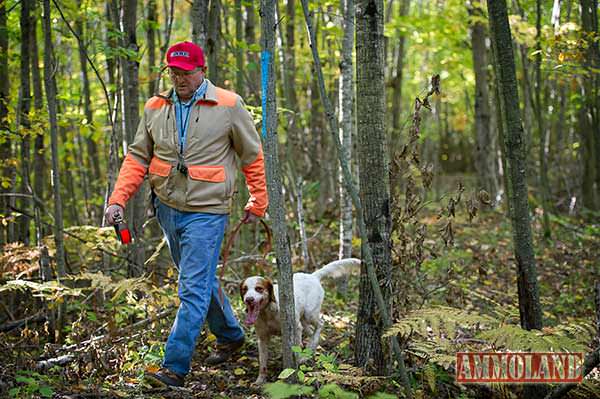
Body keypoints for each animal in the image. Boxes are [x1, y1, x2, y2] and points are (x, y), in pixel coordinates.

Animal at [239, 258, 360, 386]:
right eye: (244, 289)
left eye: (259, 288)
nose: (249, 300)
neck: (267, 312)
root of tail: (313, 276)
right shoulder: (262, 338)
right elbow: (262, 363)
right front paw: (260, 380)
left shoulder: (295, 328)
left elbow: (296, 351)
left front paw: (295, 368)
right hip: (303, 321)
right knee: (311, 332)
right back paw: (310, 350)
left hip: (309, 314)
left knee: (320, 324)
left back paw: (309, 350)